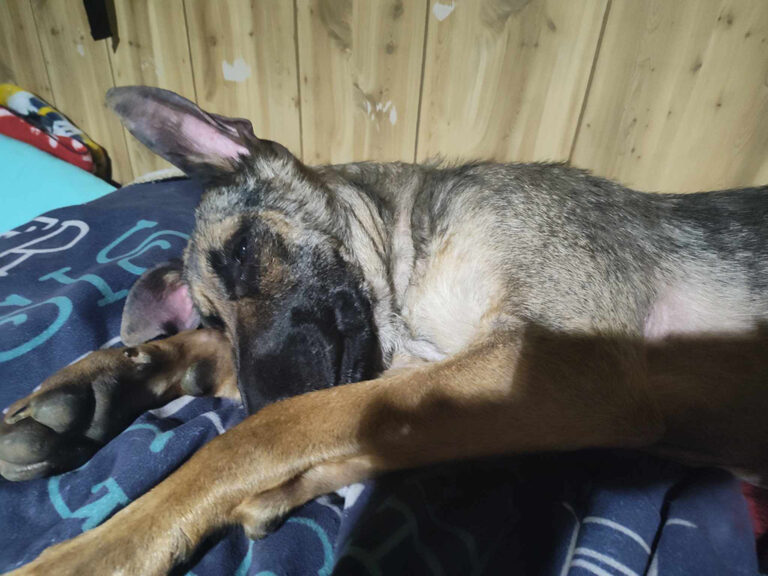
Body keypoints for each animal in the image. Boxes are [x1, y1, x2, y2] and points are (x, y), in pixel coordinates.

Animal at [4, 86, 768, 576]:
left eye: (245, 251)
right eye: (212, 312)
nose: (256, 391)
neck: (409, 254)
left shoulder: (560, 368)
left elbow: (259, 436)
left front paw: (101, 549)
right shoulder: (469, 384)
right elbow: (323, 422)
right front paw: (108, 381)